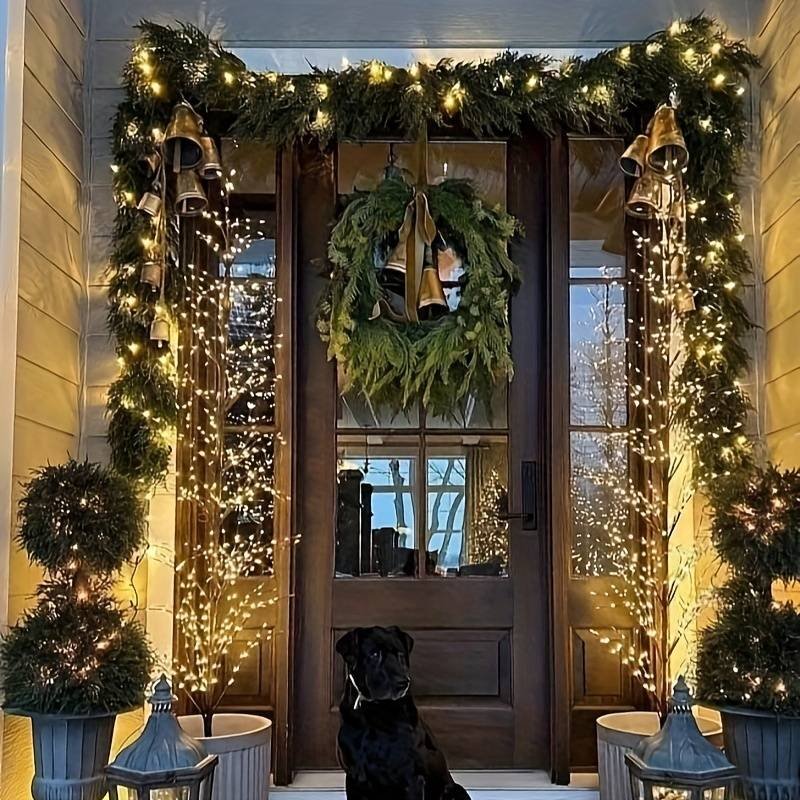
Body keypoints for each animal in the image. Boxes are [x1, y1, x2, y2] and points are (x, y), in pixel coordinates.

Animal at [336, 624, 472, 800]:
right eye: (374, 654)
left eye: (400, 654)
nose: (403, 682)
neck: (374, 711)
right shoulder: (354, 778)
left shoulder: (411, 778)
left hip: (455, 789)